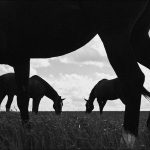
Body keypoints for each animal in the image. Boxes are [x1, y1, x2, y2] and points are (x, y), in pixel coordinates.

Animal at [0, 0, 149, 148]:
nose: (59, 114)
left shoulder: (23, 63)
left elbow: (26, 104)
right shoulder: (21, 60)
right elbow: (23, 102)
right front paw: (28, 135)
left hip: (114, 33)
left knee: (133, 79)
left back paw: (127, 140)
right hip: (137, 36)